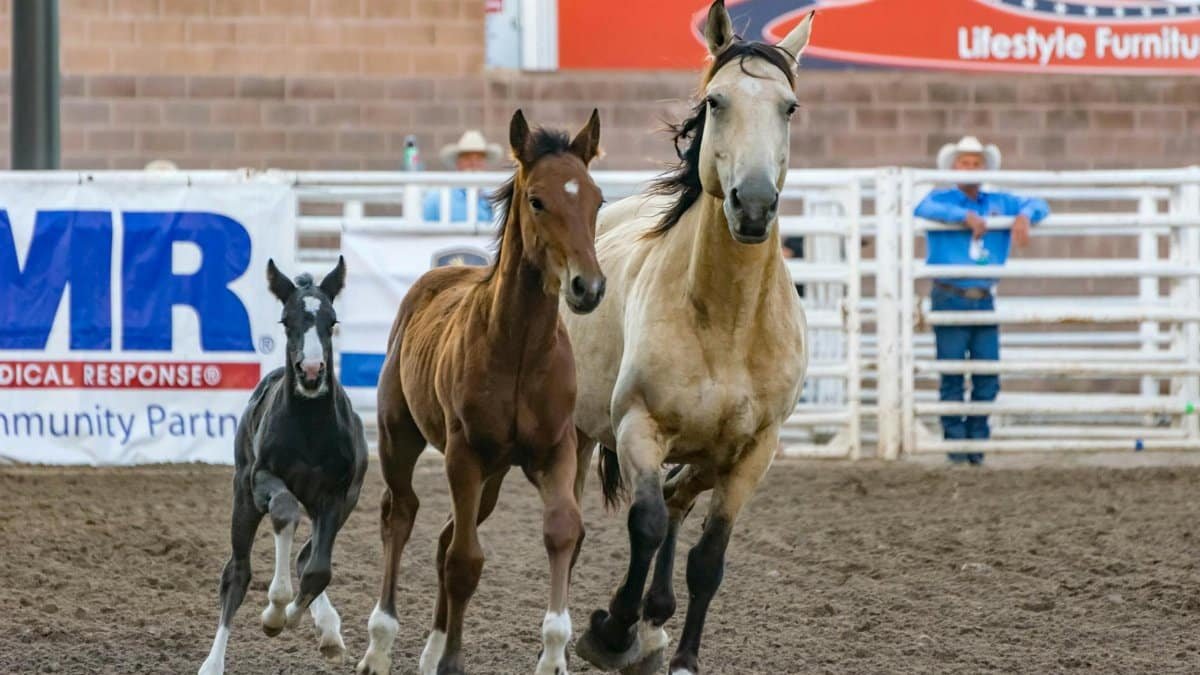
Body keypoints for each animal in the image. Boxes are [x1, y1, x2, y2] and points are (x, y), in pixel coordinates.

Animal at [199, 257, 368, 675]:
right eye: (286, 320)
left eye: (332, 320)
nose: (311, 371)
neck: (308, 428)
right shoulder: (262, 479)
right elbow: (285, 512)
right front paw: (274, 611)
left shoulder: (336, 494)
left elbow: (318, 569)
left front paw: (298, 619)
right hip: (242, 497)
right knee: (237, 572)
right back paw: (212, 663)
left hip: (345, 503)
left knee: (309, 557)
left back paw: (329, 631)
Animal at [355, 109, 605, 675]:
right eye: (537, 200)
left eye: (597, 199)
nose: (588, 287)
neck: (519, 350)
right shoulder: (463, 454)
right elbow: (465, 561)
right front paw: (451, 660)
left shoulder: (556, 450)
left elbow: (562, 529)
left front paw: (553, 655)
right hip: (400, 438)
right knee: (400, 516)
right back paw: (379, 645)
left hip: (491, 476)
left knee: (446, 533)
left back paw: (429, 650)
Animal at [563, 3, 813, 674]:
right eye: (717, 101)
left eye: (789, 108)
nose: (753, 204)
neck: (726, 321)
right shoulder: (638, 426)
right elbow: (645, 524)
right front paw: (610, 631)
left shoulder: (753, 453)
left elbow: (709, 559)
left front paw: (682, 655)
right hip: (578, 433)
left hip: (706, 454)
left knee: (679, 499)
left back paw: (656, 619)